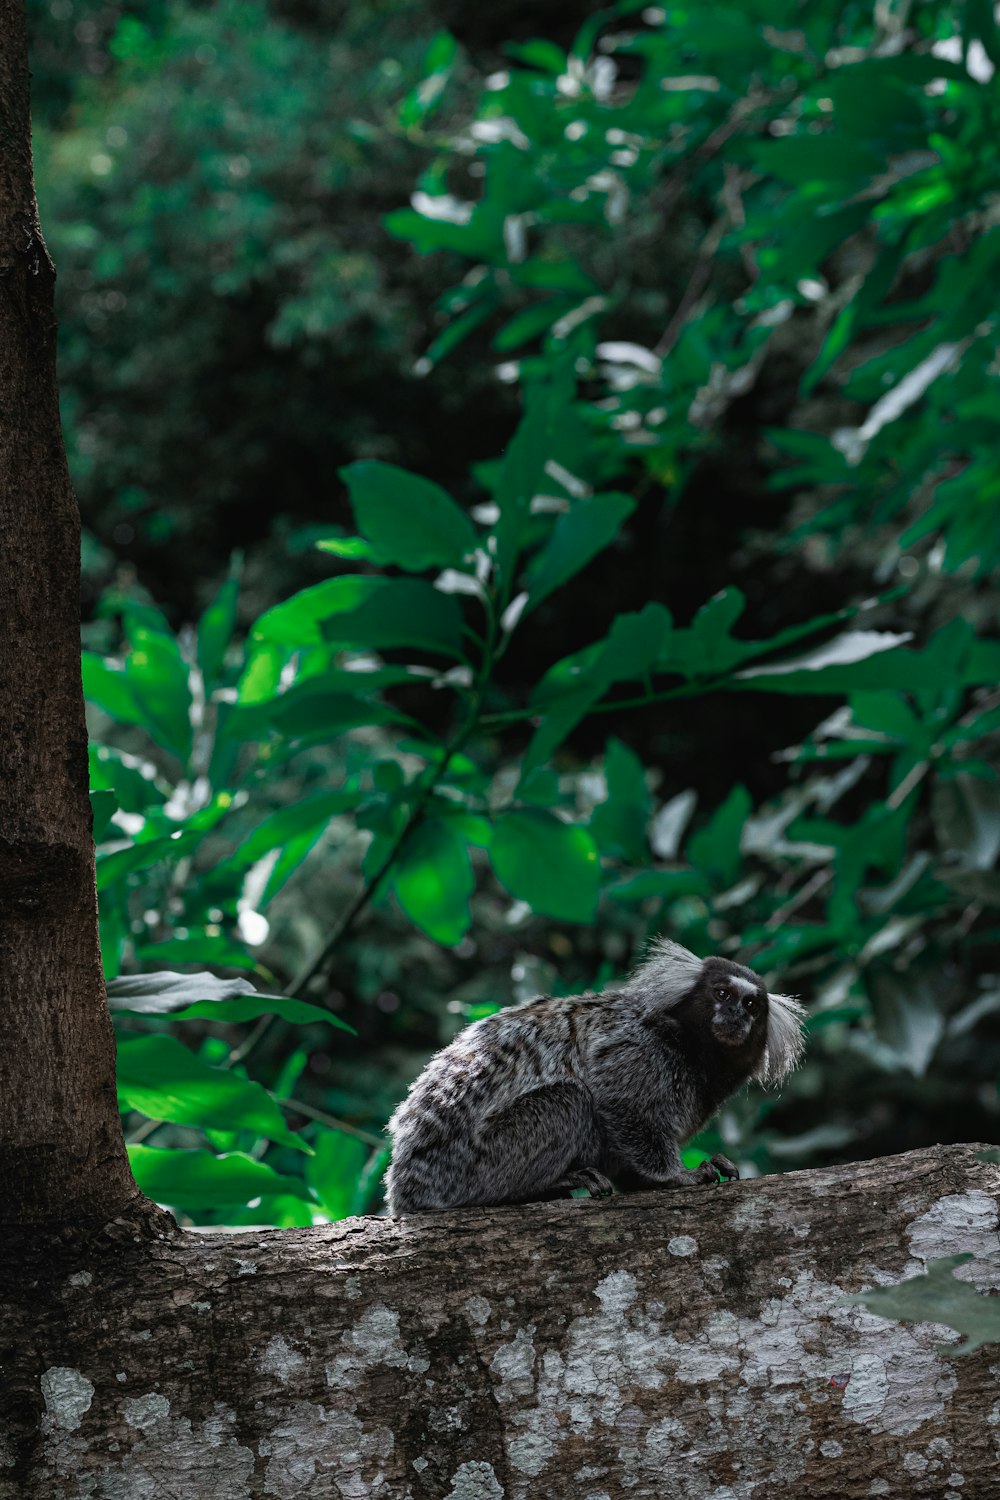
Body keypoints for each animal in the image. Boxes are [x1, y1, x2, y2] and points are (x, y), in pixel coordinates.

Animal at [383, 942, 803, 1212]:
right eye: (722, 994)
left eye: (752, 1004)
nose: (736, 1015)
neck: (690, 1045)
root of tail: (406, 1186)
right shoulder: (637, 1049)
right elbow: (618, 1104)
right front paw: (677, 1176)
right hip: (472, 1165)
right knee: (568, 1099)